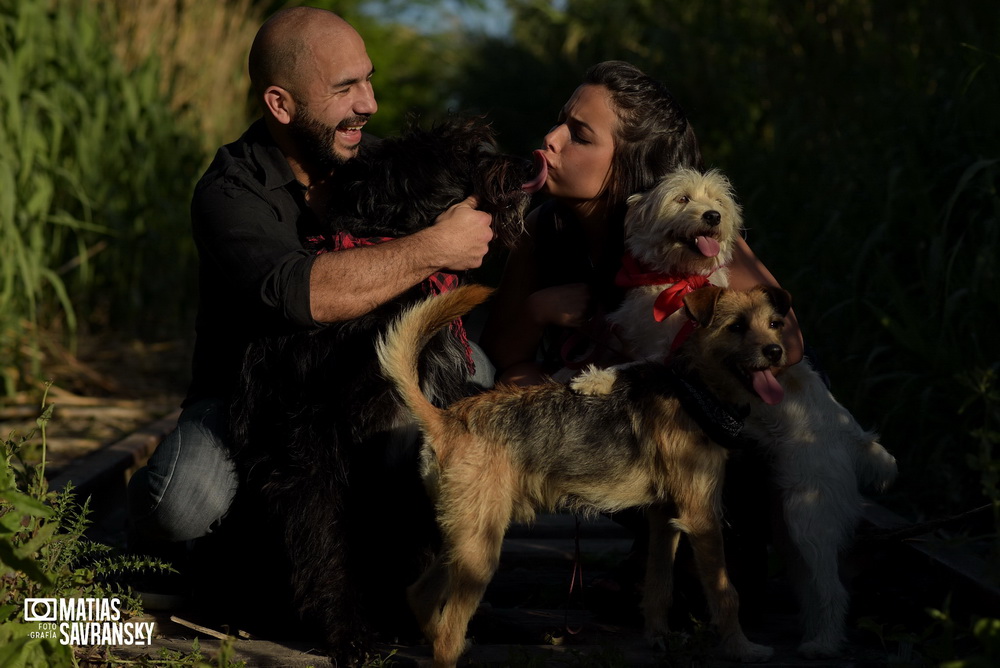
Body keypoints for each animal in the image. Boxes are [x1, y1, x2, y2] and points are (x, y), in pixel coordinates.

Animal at [223, 117, 544, 660]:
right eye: (467, 154)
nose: (529, 165)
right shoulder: (307, 446)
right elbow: (323, 539)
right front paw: (350, 631)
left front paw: (417, 617)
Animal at [608, 166, 900, 656]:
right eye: (682, 199)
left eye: (717, 203)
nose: (711, 216)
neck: (680, 282)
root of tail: (852, 435)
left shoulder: (666, 357)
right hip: (790, 527)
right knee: (812, 587)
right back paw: (814, 634)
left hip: (809, 516)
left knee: (833, 589)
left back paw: (822, 645)